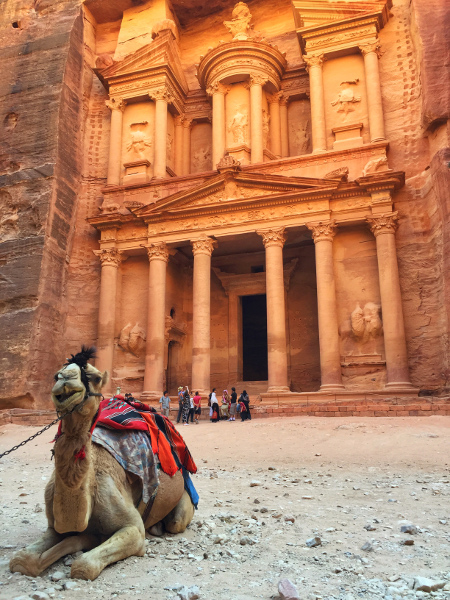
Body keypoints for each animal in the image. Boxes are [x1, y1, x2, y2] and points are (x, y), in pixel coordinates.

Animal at [10, 346, 195, 580]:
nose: (66, 378)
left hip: (181, 504)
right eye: (55, 375)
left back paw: (158, 528)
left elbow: (84, 565)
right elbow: (22, 560)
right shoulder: (55, 526)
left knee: (176, 521)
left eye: (95, 377)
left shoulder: (134, 529)